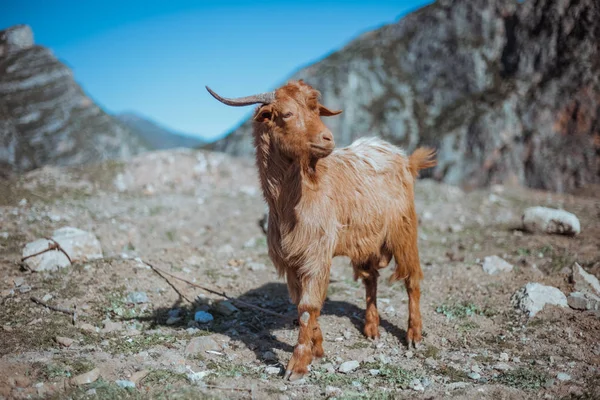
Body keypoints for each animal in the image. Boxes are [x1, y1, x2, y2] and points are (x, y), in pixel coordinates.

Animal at [206, 80, 436, 382]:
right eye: (287, 113)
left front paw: (298, 365)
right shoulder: (291, 260)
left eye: (317, 112)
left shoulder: (316, 255)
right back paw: (371, 328)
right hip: (367, 241)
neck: (295, 199)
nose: (328, 139)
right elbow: (300, 304)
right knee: (371, 280)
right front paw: (317, 348)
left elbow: (308, 307)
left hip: (404, 231)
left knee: (412, 280)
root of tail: (404, 159)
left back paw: (414, 335)